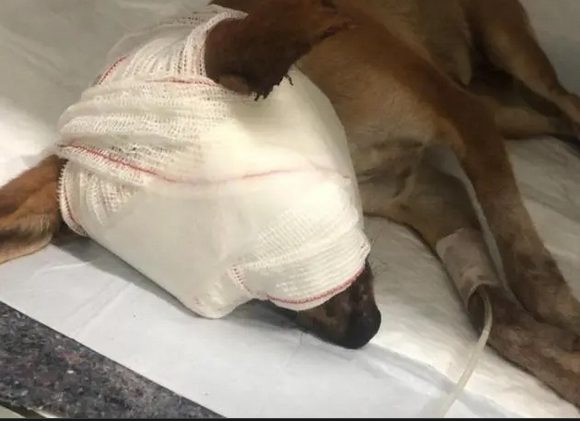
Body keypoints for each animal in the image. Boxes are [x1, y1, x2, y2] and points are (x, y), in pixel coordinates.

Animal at [1, 0, 580, 407]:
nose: (361, 333)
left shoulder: (463, 119)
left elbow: (531, 273)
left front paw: (568, 325)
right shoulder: (428, 193)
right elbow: (495, 314)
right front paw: (564, 361)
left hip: (505, 55)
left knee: (565, 102)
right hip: (508, 113)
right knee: (550, 117)